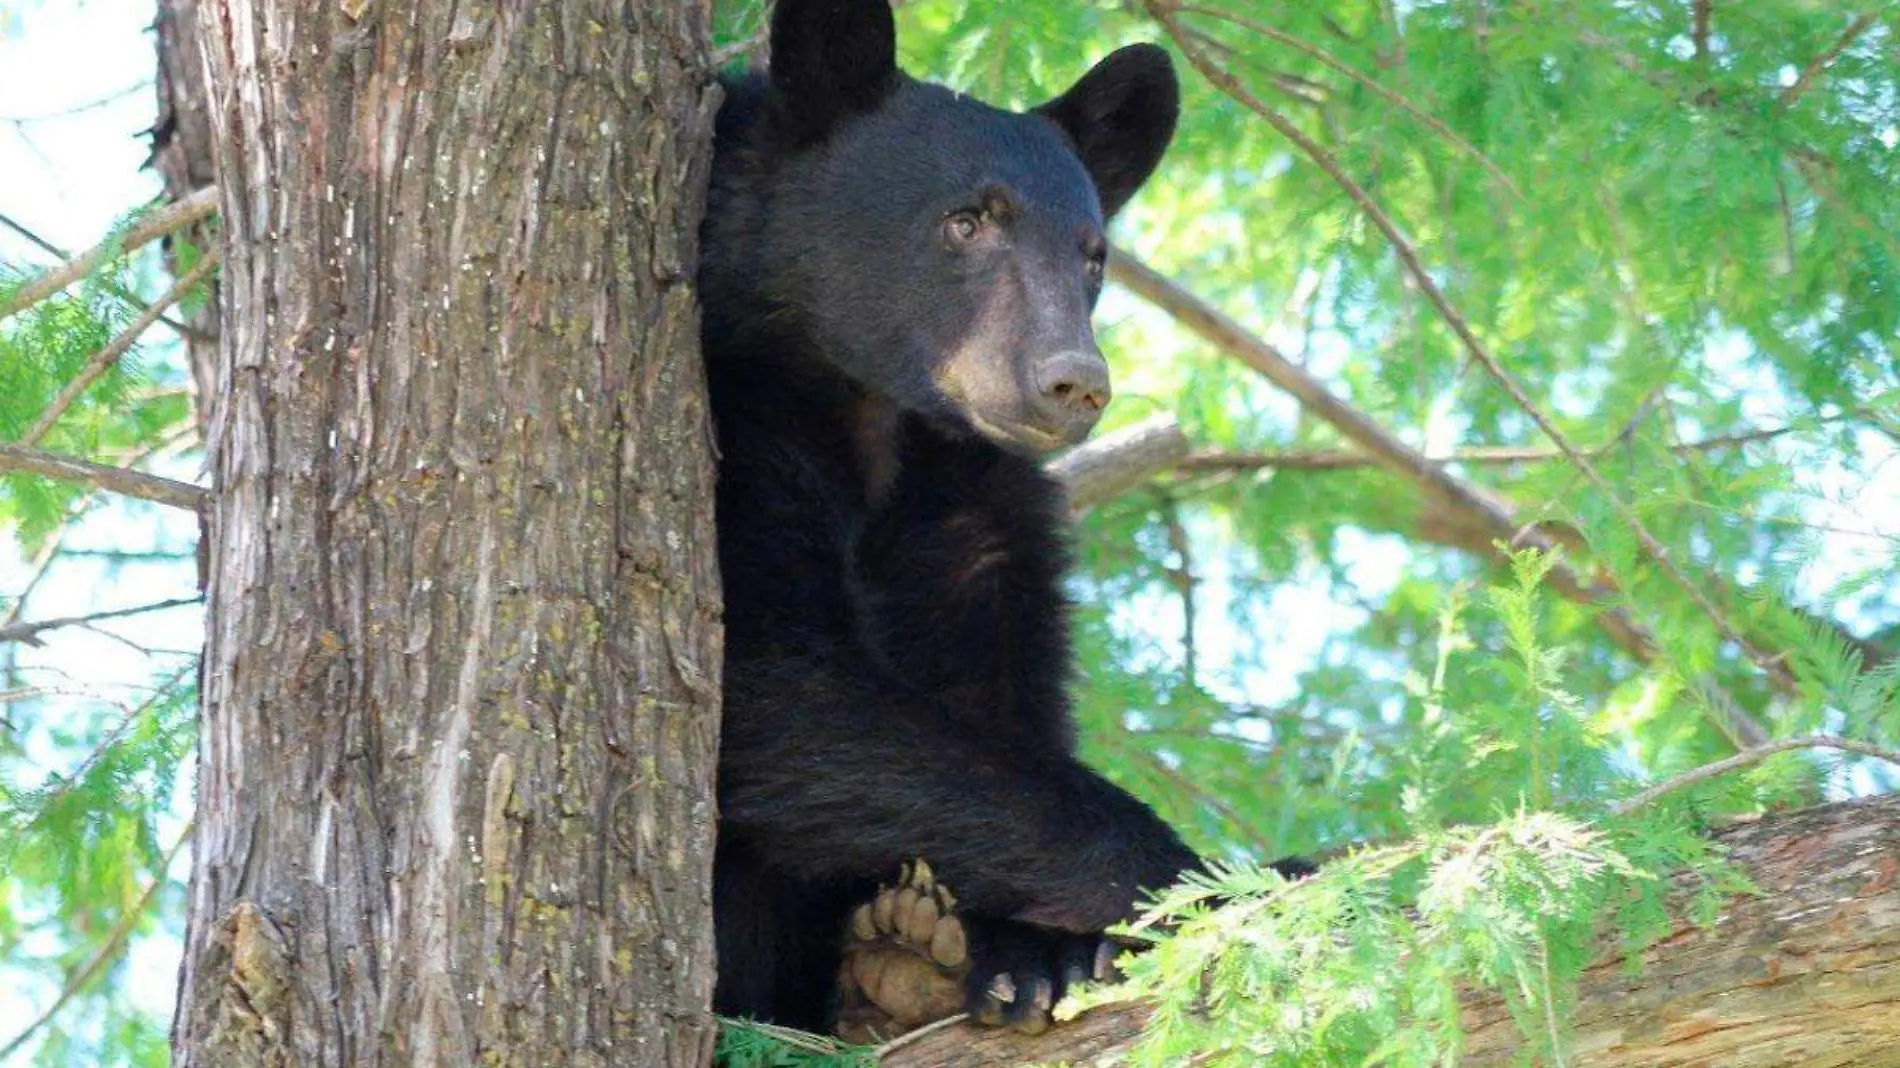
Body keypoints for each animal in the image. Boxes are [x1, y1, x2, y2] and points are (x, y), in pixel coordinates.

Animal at [703, 0, 1216, 1033]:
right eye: (966, 220)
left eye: (1093, 255)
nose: (1073, 381)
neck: (874, 416)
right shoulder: (737, 415)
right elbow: (771, 675)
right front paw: (1197, 881)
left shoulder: (968, 504)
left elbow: (997, 687)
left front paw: (1033, 951)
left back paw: (901, 959)